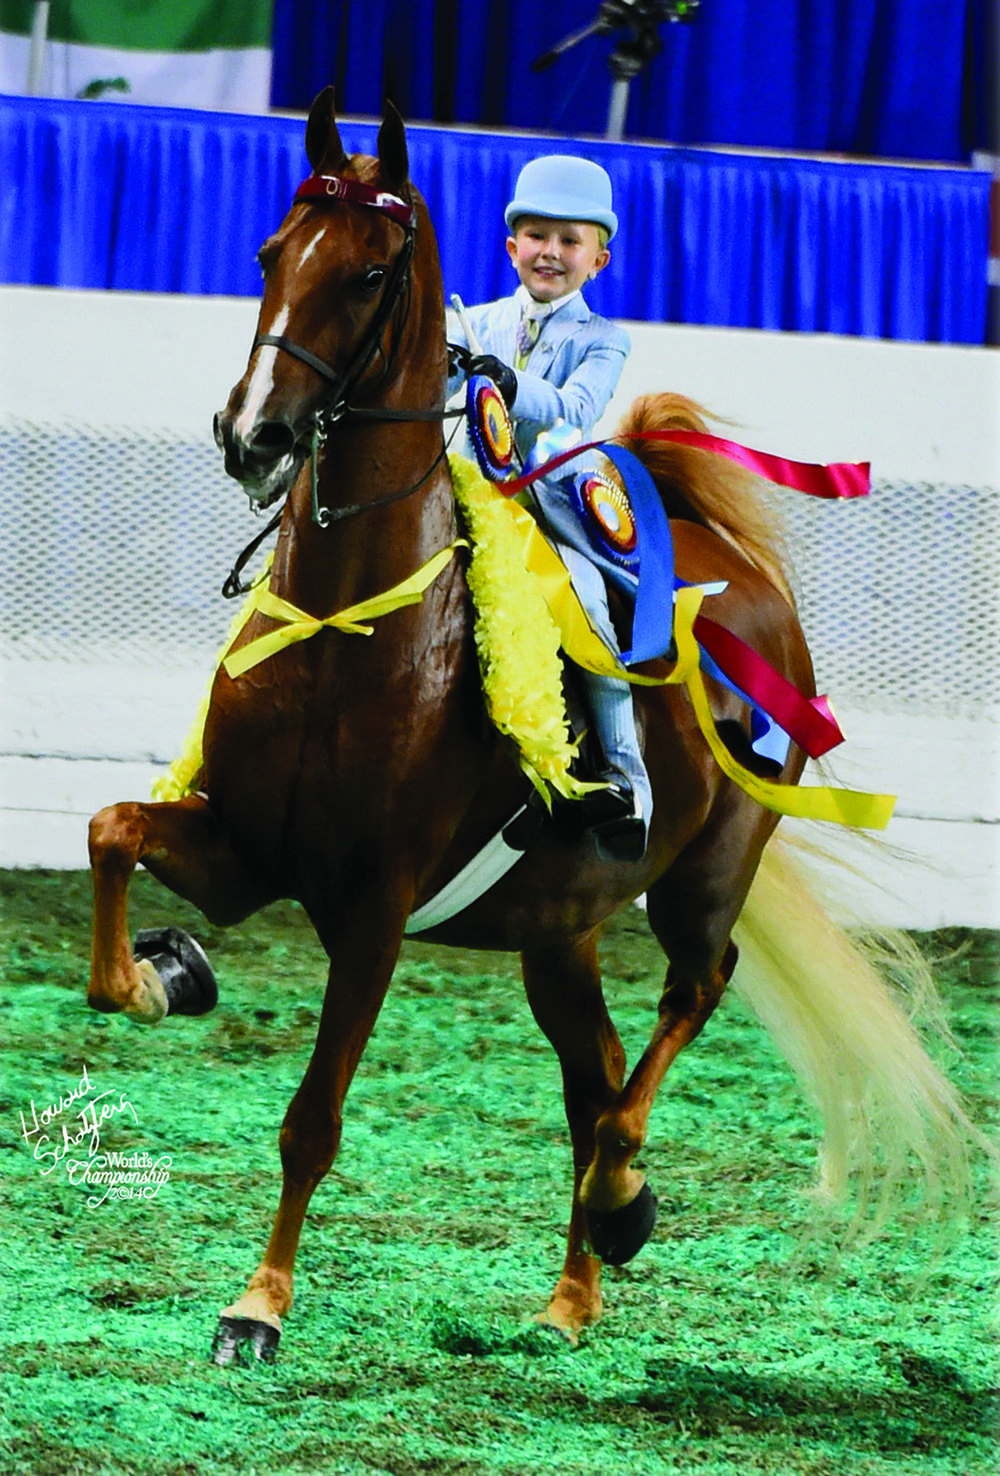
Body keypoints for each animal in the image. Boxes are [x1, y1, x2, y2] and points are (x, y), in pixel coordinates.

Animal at [88, 89, 979, 1357]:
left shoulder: (371, 907)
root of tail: (746, 581)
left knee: (685, 1003)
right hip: (558, 928)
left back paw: (620, 1197)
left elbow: (313, 1117)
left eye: (369, 273)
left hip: (706, 874)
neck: (350, 624)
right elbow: (113, 834)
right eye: (269, 253)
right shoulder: (246, 849)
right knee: (592, 1070)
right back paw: (573, 1292)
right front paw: (164, 976)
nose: (250, 435)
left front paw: (255, 1307)